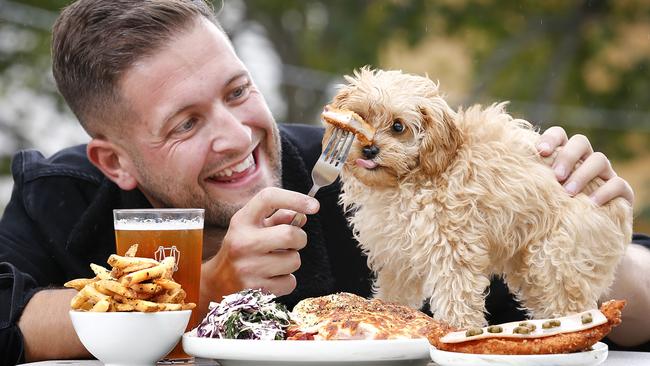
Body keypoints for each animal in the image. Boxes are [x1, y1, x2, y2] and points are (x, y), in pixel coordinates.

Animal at [326, 67, 632, 328]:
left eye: (398, 127)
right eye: (360, 118)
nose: (369, 150)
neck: (412, 178)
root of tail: (619, 209)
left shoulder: (453, 249)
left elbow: (456, 299)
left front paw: (455, 333)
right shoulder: (398, 258)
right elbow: (395, 294)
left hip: (555, 261)